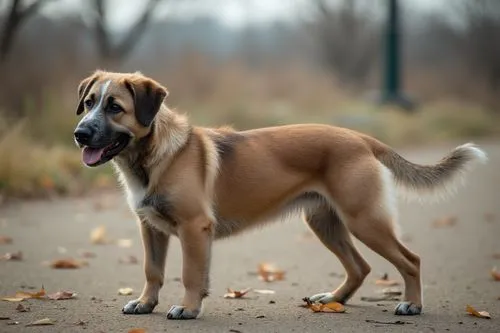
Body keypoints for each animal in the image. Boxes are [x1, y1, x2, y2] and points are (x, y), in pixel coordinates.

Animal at [72, 70, 486, 320]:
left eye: (115, 107)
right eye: (89, 102)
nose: (79, 133)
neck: (154, 155)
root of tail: (360, 137)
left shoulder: (193, 228)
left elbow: (189, 274)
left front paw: (188, 309)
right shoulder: (151, 230)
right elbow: (153, 271)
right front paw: (146, 304)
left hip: (364, 220)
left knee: (410, 260)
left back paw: (412, 304)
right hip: (325, 223)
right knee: (360, 267)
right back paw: (333, 300)